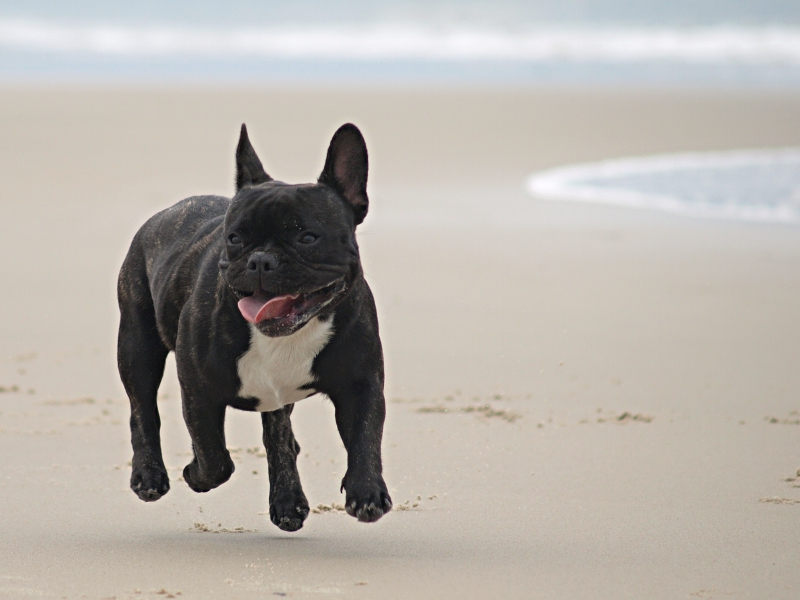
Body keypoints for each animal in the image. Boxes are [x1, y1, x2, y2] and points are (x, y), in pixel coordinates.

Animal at [117, 122, 392, 528]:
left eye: (307, 237)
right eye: (234, 238)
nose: (261, 260)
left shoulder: (361, 383)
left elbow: (365, 436)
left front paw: (367, 492)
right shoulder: (198, 393)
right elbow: (214, 458)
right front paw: (194, 474)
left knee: (278, 434)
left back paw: (288, 501)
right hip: (137, 347)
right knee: (143, 409)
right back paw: (149, 475)